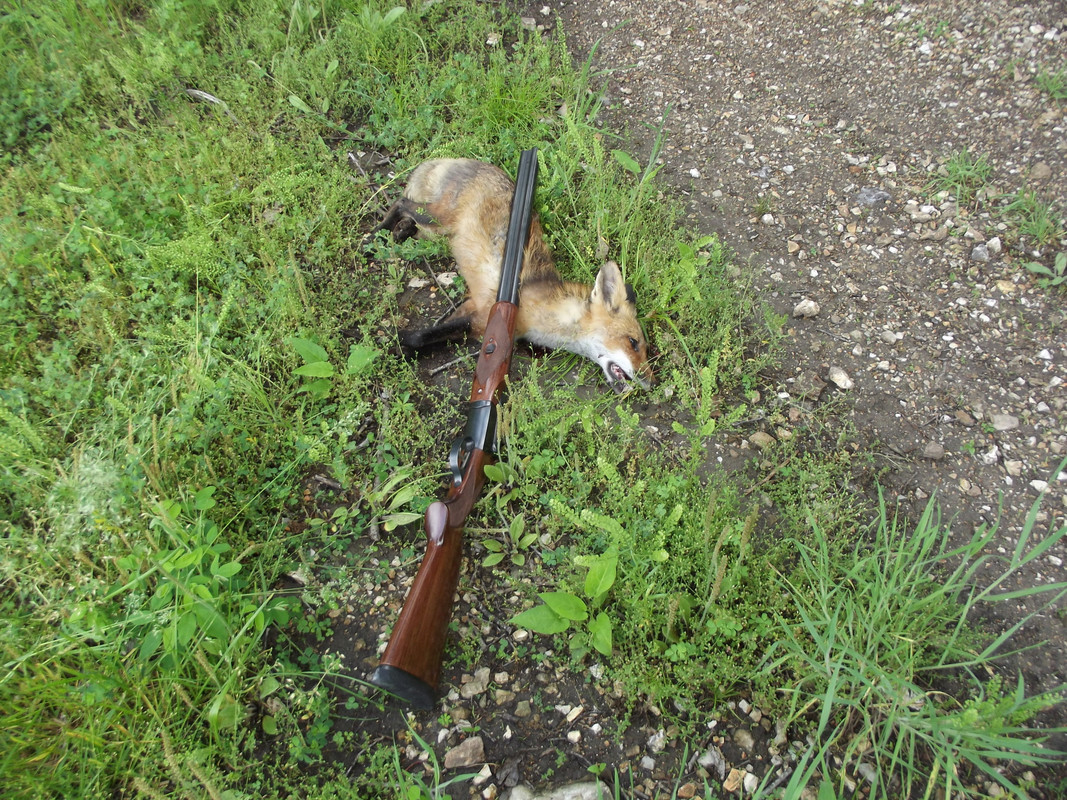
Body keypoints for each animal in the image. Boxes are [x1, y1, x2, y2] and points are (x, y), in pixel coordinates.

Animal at [375, 158, 653, 393]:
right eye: (633, 342)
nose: (650, 382)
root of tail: (466, 160)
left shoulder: (473, 312)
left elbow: (437, 333)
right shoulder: (482, 315)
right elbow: (422, 336)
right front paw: (394, 346)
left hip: (435, 231)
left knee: (409, 216)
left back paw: (399, 231)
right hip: (437, 220)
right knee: (401, 202)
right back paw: (377, 233)